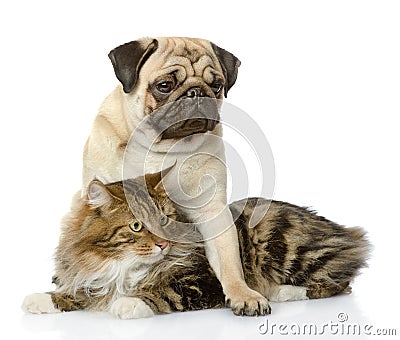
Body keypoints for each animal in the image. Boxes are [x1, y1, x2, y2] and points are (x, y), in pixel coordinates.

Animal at [22, 173, 368, 318]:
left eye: (165, 219)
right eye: (137, 226)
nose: (163, 243)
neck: (123, 266)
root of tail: (343, 231)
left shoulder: (201, 282)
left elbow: (163, 293)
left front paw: (128, 304)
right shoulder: (93, 277)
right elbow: (74, 293)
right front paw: (40, 299)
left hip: (279, 241)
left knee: (338, 284)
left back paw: (278, 292)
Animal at [82, 37, 270, 316]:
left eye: (217, 86)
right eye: (164, 86)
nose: (196, 92)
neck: (162, 148)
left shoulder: (213, 213)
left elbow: (228, 261)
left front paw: (242, 294)